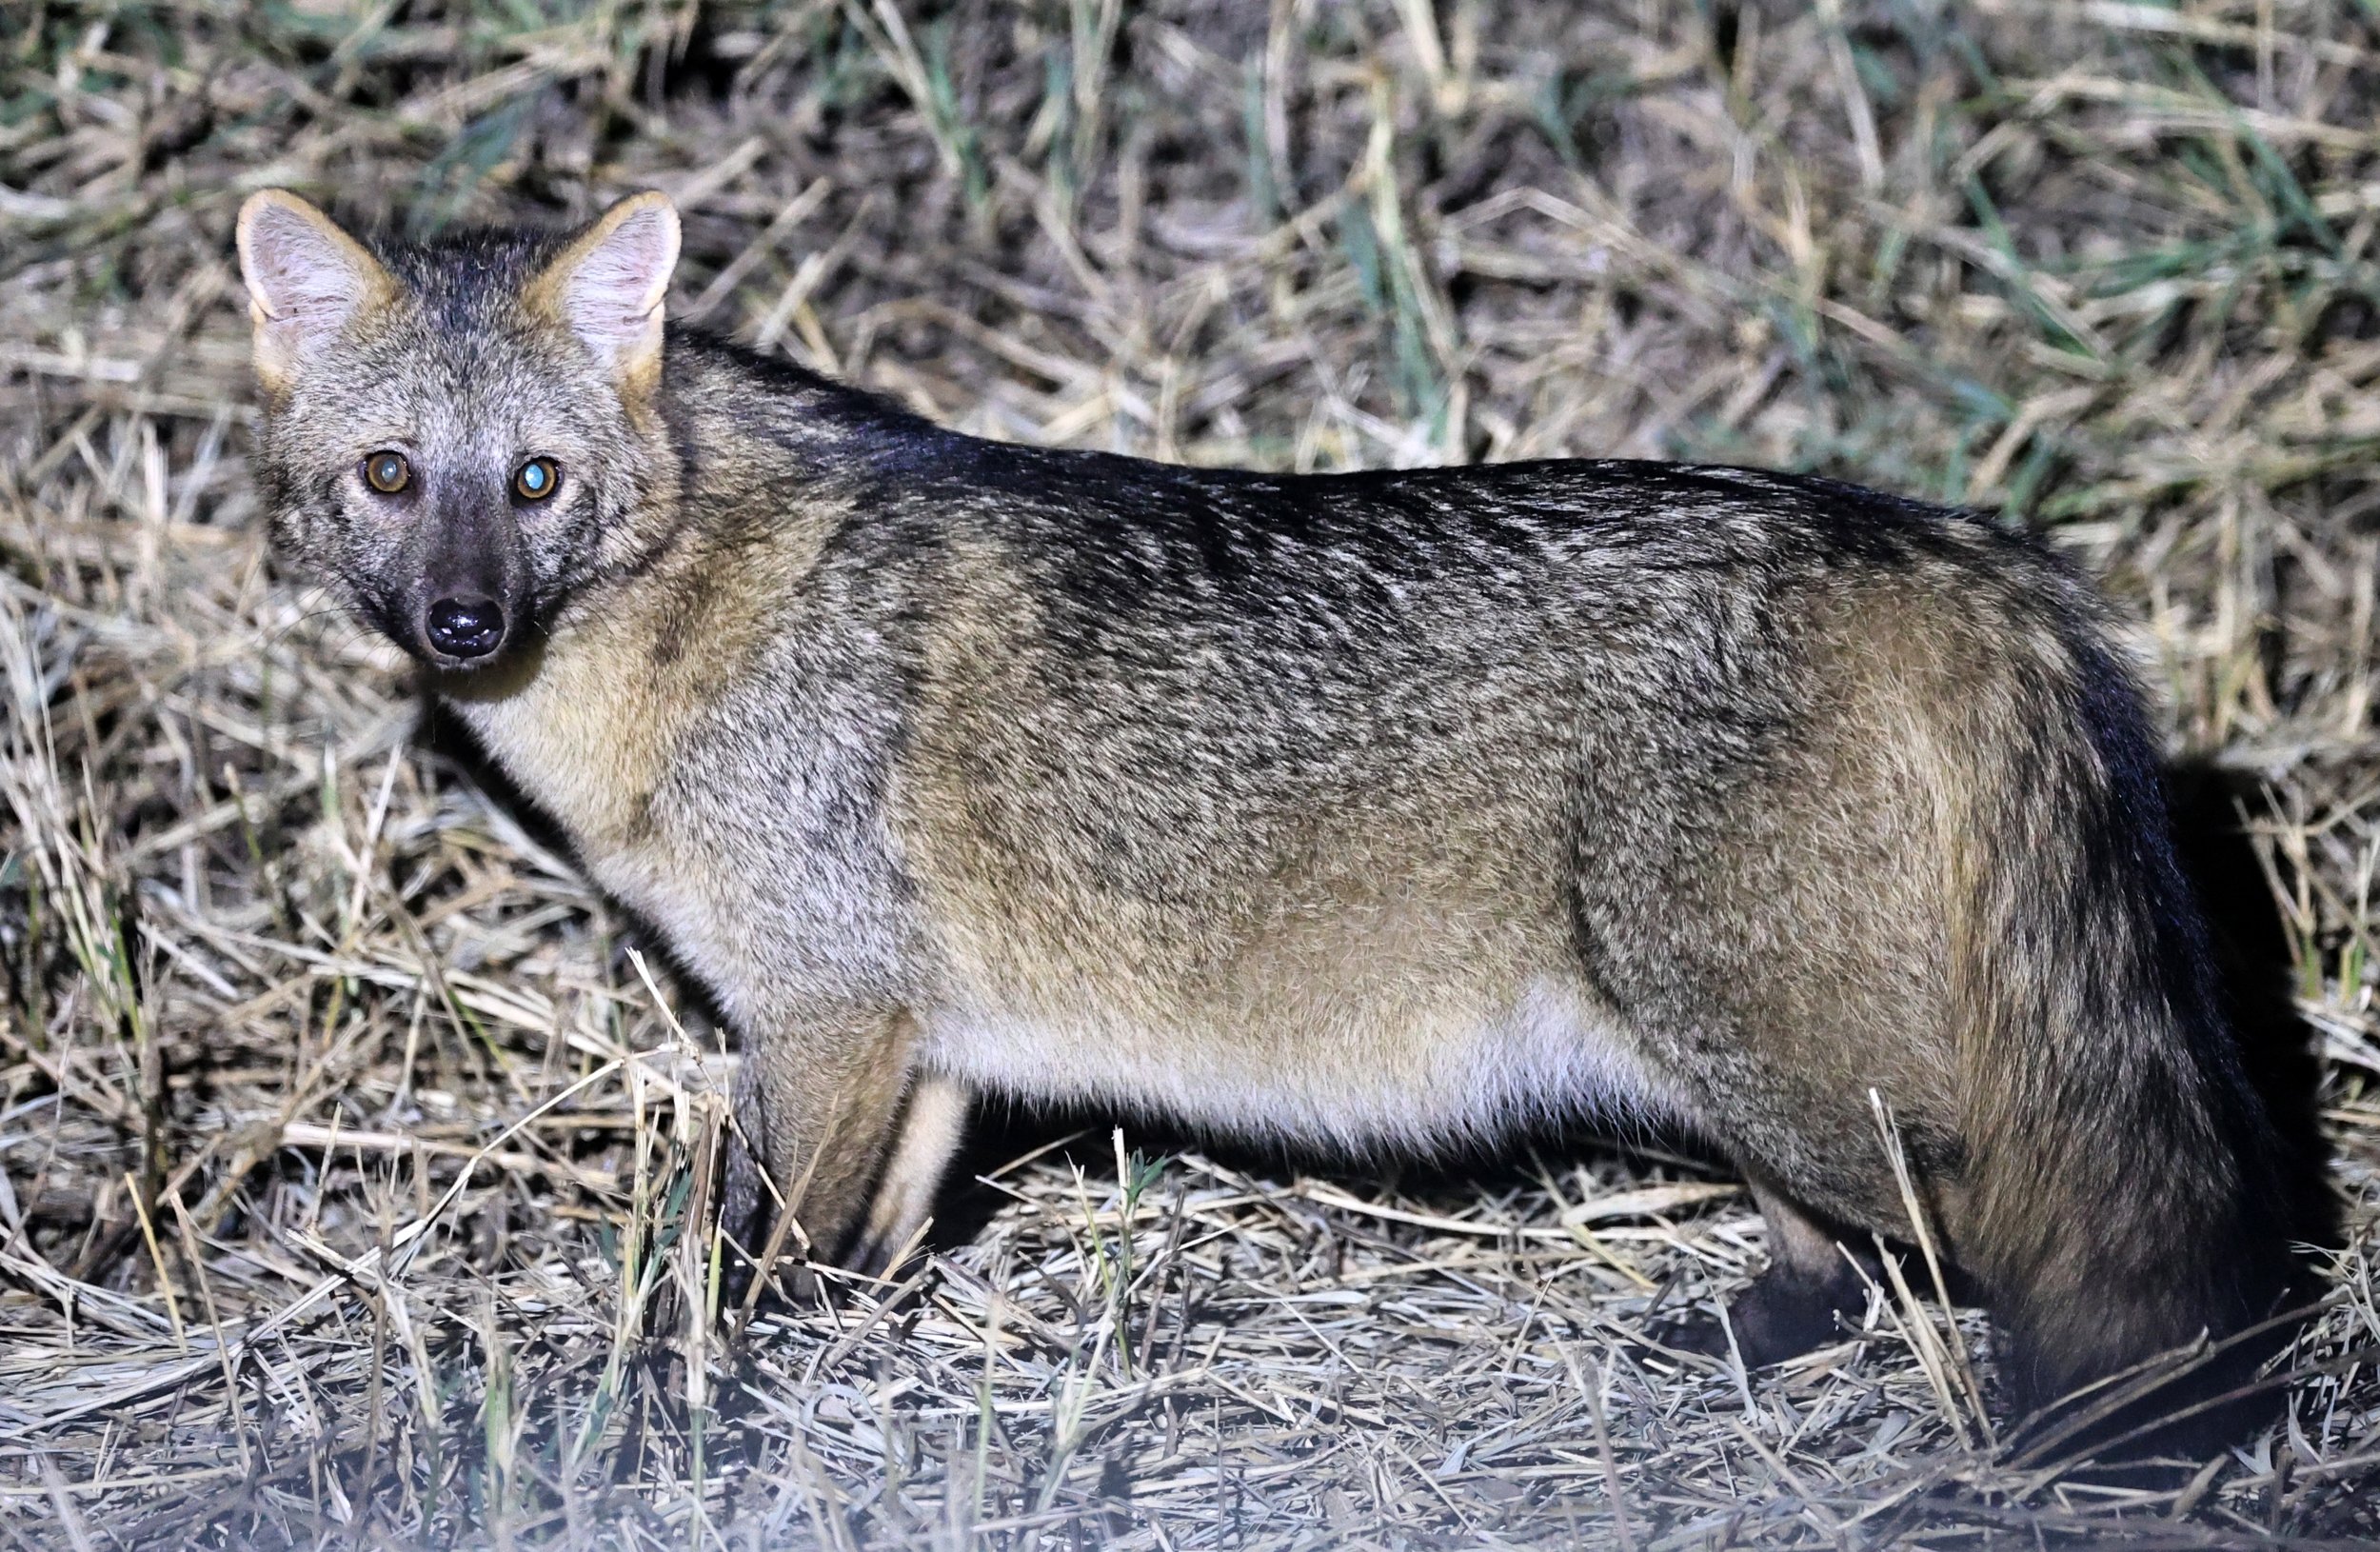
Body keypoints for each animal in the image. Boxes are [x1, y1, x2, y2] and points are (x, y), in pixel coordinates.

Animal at [235, 186, 2294, 1448]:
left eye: (533, 482)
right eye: (393, 478)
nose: (460, 624)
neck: (693, 623)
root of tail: (1933, 538)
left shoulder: (820, 1020)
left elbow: (734, 1264)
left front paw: (673, 1405)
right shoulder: (915, 1049)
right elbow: (860, 1250)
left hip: (1806, 1073)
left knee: (2031, 1250)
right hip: (1745, 1069)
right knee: (1845, 1260)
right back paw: (1743, 1335)